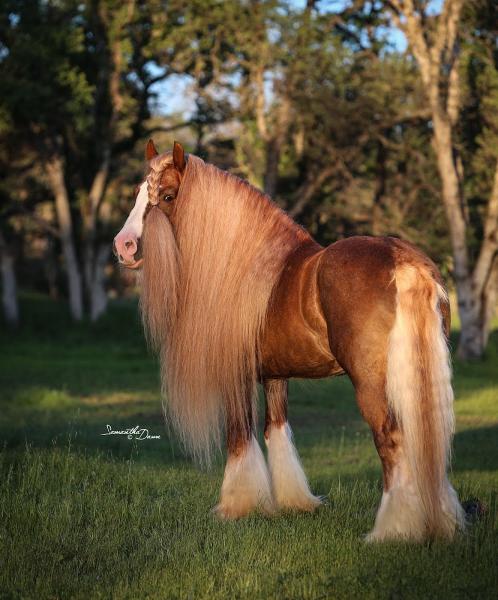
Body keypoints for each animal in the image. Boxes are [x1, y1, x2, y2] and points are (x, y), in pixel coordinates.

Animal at [114, 138, 466, 540]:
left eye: (168, 196)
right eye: (138, 193)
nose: (124, 246)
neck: (249, 268)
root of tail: (404, 262)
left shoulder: (235, 375)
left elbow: (240, 436)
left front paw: (237, 507)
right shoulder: (274, 376)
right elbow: (277, 430)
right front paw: (293, 503)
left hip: (372, 386)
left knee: (391, 440)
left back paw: (391, 531)